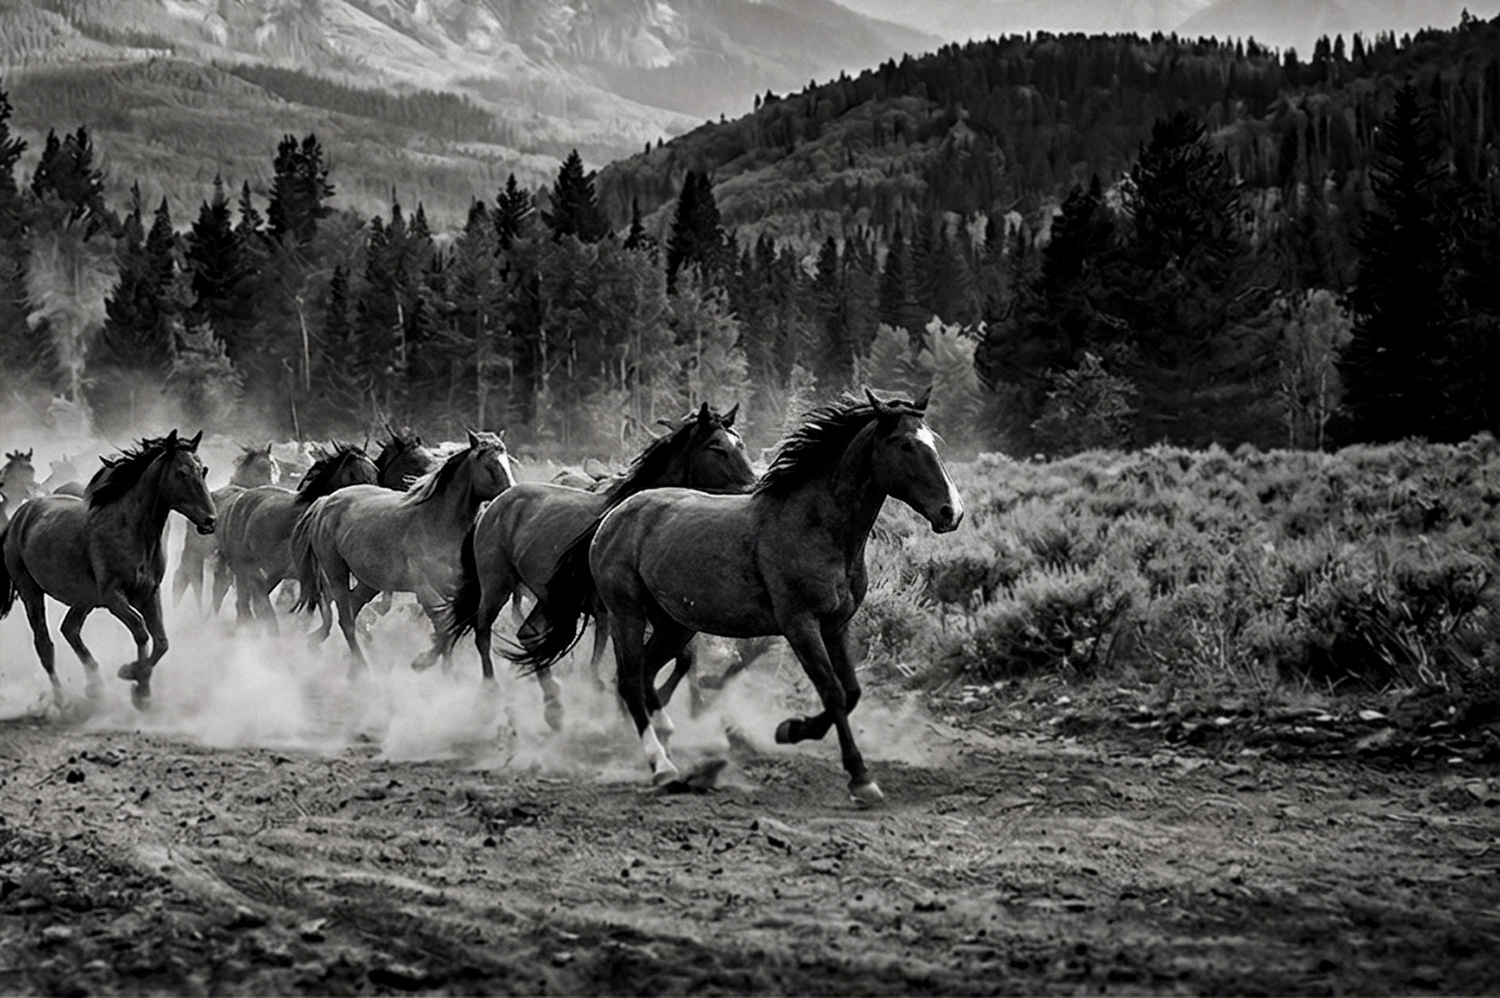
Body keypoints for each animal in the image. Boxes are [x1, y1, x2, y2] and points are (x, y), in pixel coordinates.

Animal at [0, 430, 217, 709]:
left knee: (70, 629)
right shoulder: (114, 597)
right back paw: (60, 699)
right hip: (31, 591)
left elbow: (162, 642)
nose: (210, 521)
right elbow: (141, 631)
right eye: (181, 473)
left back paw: (95, 688)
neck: (132, 530)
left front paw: (139, 685)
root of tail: (20, 514)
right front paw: (135, 679)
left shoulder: (149, 593)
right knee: (44, 644)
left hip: (84, 598)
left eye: (203, 470)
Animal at [291, 431, 513, 672]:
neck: (439, 521)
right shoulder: (423, 587)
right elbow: (443, 626)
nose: (509, 497)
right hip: (336, 571)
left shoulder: (455, 588)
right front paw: (423, 661)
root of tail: (325, 502)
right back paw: (360, 668)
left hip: (369, 580)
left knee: (352, 608)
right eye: (490, 464)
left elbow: (453, 625)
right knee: (346, 619)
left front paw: (447, 669)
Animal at [446, 403, 754, 729]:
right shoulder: (621, 613)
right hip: (497, 584)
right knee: (482, 632)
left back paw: (554, 707)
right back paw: (491, 696)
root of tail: (494, 505)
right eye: (716, 447)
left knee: (527, 635)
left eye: (741, 444)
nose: (752, 486)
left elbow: (683, 659)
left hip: (550, 597)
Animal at [513, 390, 963, 803]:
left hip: (673, 625)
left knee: (642, 676)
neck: (816, 527)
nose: (952, 512)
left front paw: (792, 729)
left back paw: (668, 742)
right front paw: (860, 776)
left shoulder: (836, 625)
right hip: (627, 613)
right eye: (905, 445)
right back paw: (661, 766)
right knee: (627, 681)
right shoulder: (800, 625)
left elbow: (850, 692)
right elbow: (833, 691)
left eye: (934, 441)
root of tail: (612, 516)